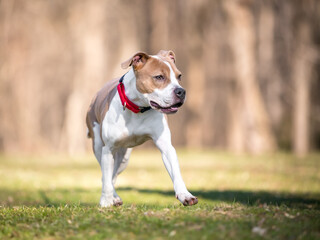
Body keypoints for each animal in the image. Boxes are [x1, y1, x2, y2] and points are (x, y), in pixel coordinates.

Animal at [87, 49, 198, 207]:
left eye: (179, 76)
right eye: (159, 77)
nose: (181, 92)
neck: (138, 108)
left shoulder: (166, 146)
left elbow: (176, 173)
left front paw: (185, 195)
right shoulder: (108, 149)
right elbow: (106, 179)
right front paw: (105, 202)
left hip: (123, 158)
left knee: (113, 176)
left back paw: (115, 197)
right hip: (98, 147)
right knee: (106, 176)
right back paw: (111, 198)